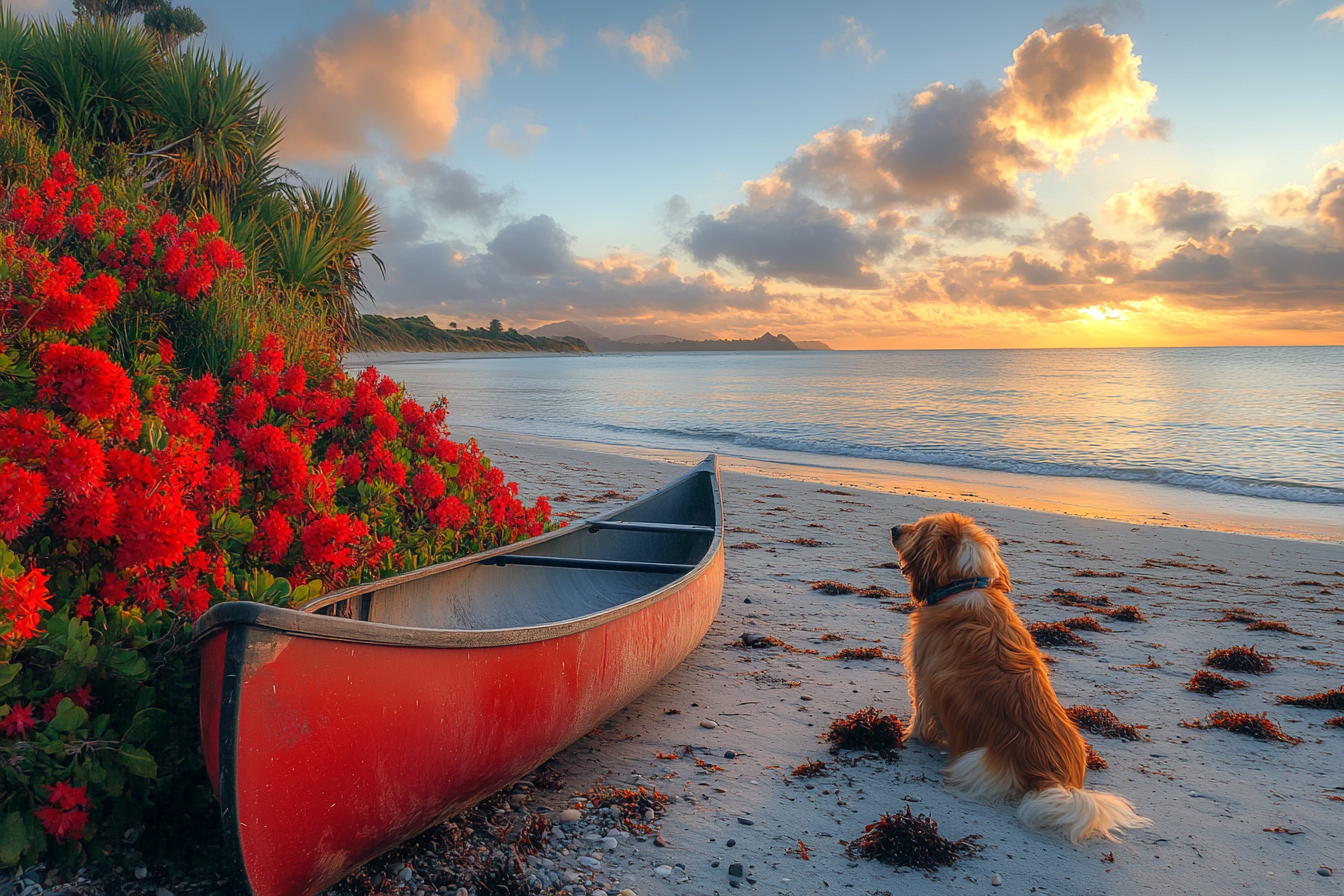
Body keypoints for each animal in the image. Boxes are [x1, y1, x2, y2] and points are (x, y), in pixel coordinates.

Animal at [887, 515, 1150, 843]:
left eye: (918, 529)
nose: (893, 529)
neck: (964, 584)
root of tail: (1055, 781)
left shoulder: (922, 680)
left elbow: (921, 716)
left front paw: (910, 736)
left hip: (976, 758)